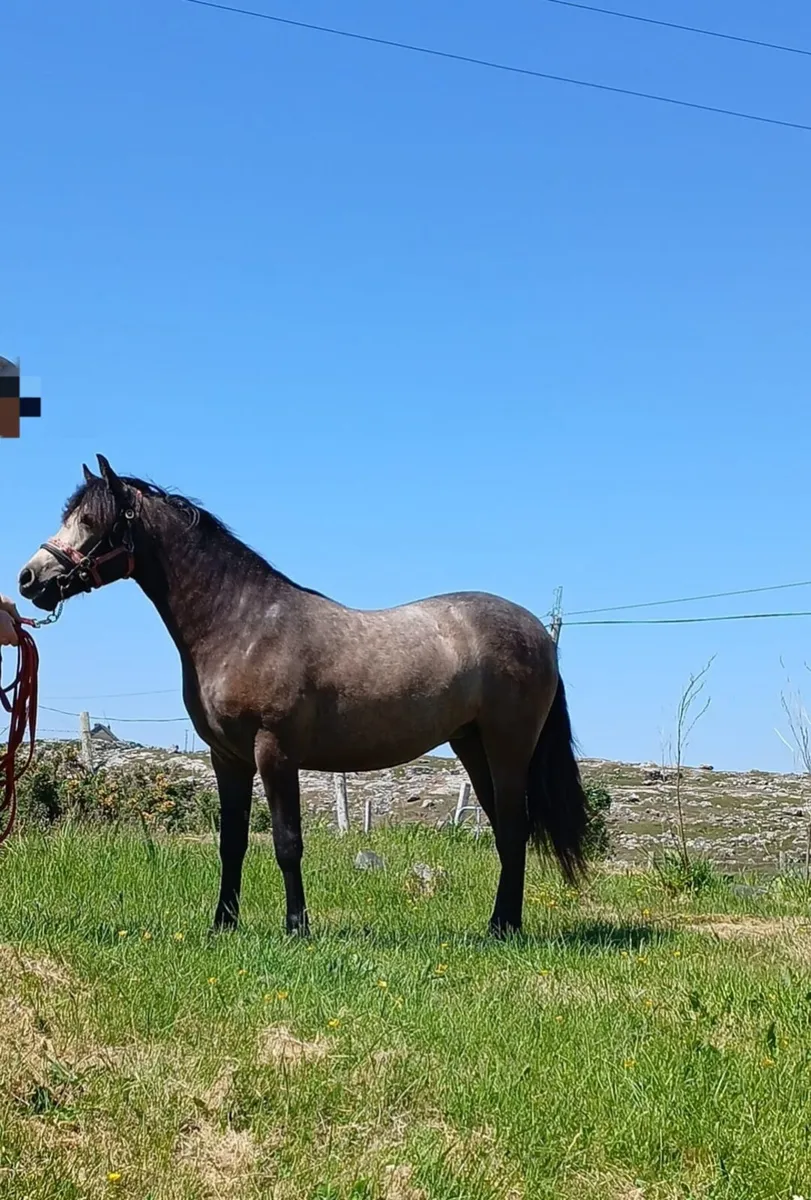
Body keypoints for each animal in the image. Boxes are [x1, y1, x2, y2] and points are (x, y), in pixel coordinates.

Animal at [18, 455, 588, 938]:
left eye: (90, 520)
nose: (30, 579)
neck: (242, 624)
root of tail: (538, 633)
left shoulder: (275, 752)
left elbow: (287, 843)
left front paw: (297, 927)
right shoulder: (227, 758)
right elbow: (232, 843)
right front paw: (222, 926)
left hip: (507, 747)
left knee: (514, 826)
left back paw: (503, 928)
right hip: (472, 746)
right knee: (506, 830)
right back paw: (501, 924)